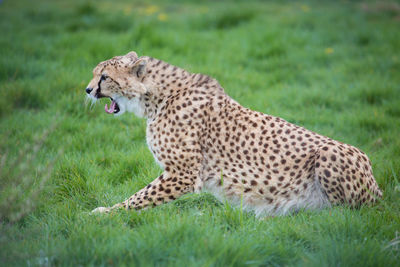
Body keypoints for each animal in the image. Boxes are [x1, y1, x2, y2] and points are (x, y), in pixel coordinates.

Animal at [86, 51, 382, 217]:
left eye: (104, 77)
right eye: (95, 74)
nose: (88, 90)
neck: (157, 97)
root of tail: (377, 186)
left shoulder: (183, 174)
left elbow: (139, 198)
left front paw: (105, 213)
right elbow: (141, 196)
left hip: (331, 154)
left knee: (348, 214)